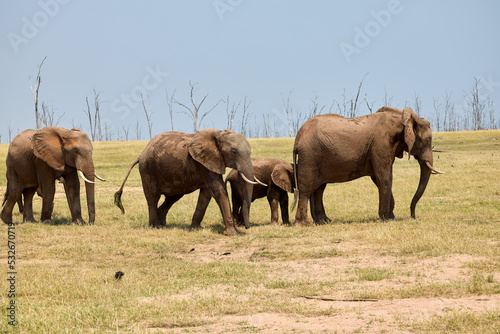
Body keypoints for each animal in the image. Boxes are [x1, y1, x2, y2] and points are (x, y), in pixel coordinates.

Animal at [114, 128, 262, 235]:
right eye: (234, 151)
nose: (247, 227)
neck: (219, 134)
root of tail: (140, 155)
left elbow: (206, 194)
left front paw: (196, 229)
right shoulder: (204, 162)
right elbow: (218, 190)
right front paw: (233, 233)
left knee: (172, 197)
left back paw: (162, 224)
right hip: (148, 170)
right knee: (152, 198)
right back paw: (155, 227)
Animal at [292, 108, 446, 226]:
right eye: (428, 140)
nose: (413, 216)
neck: (402, 118)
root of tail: (298, 137)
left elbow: (377, 179)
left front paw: (390, 216)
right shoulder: (381, 144)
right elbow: (384, 177)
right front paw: (385, 219)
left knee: (319, 189)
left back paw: (324, 221)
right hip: (310, 156)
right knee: (306, 189)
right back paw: (305, 224)